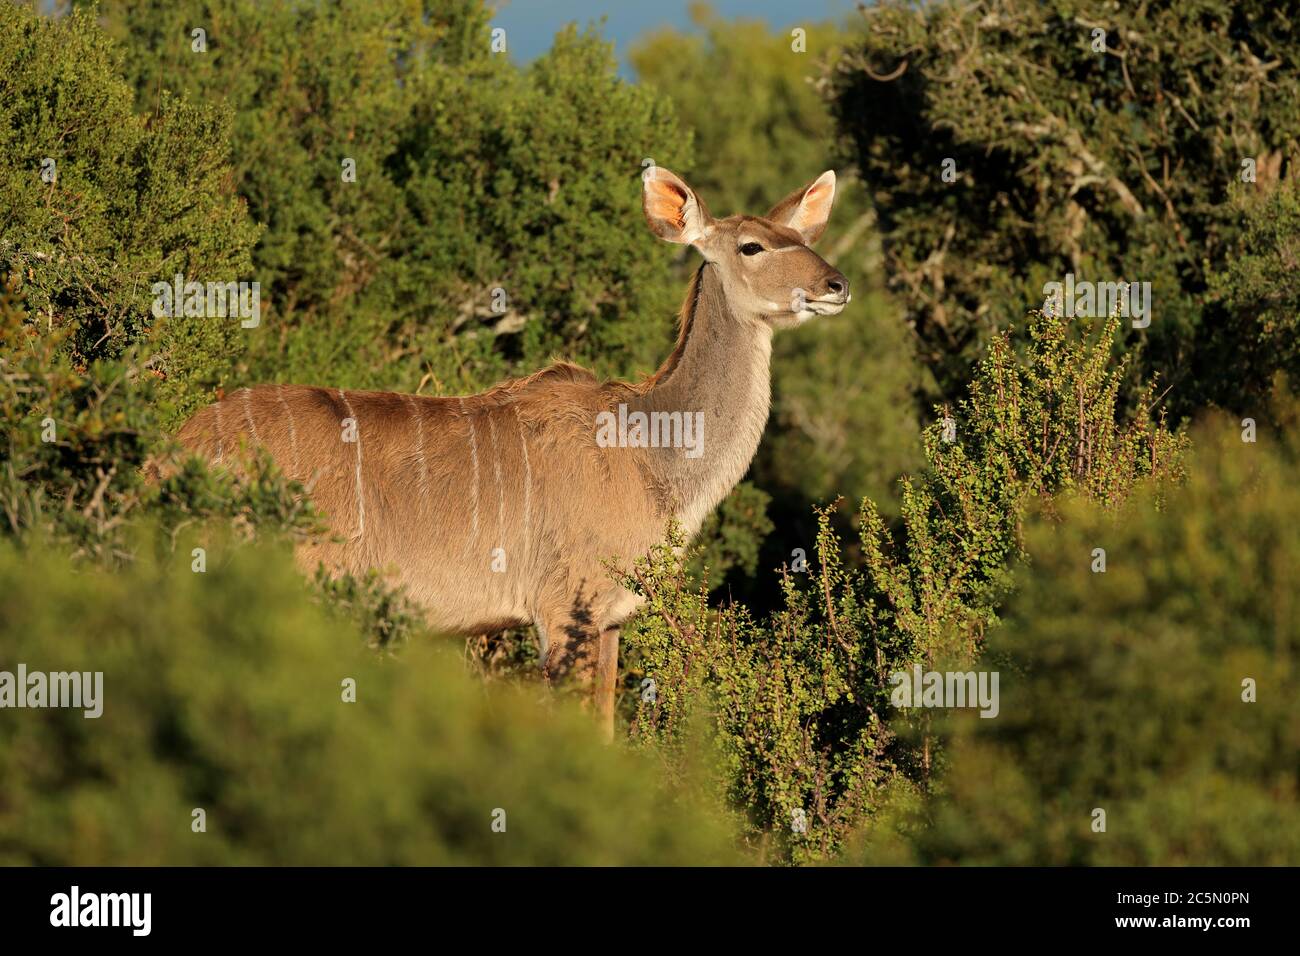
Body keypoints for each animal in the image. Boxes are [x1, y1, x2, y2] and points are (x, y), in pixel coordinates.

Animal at [175, 167, 842, 738]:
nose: (836, 285)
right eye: (752, 246)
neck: (650, 450)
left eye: (801, 236)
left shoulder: (610, 619)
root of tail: (177, 447)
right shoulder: (564, 609)